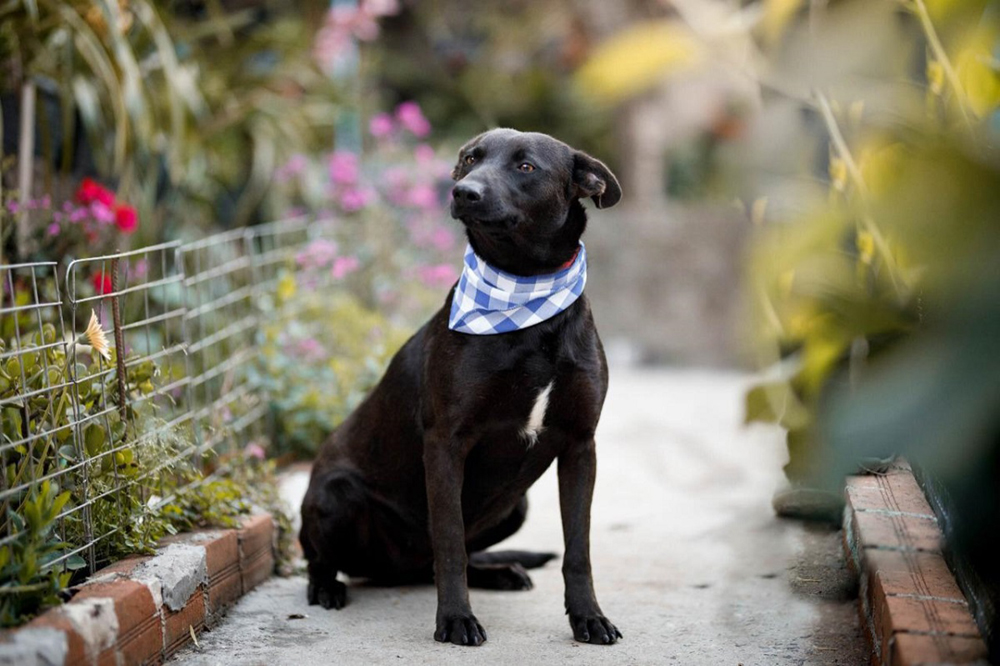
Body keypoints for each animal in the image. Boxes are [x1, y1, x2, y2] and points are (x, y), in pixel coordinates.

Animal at [300, 128, 620, 644]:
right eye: (471, 159)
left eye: (526, 167)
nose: (463, 192)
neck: (526, 297)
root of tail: (398, 567)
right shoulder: (447, 443)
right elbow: (449, 542)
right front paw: (455, 620)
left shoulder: (579, 445)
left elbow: (578, 550)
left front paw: (588, 617)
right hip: (337, 494)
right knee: (327, 559)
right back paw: (326, 587)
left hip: (517, 505)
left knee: (448, 560)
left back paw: (501, 571)